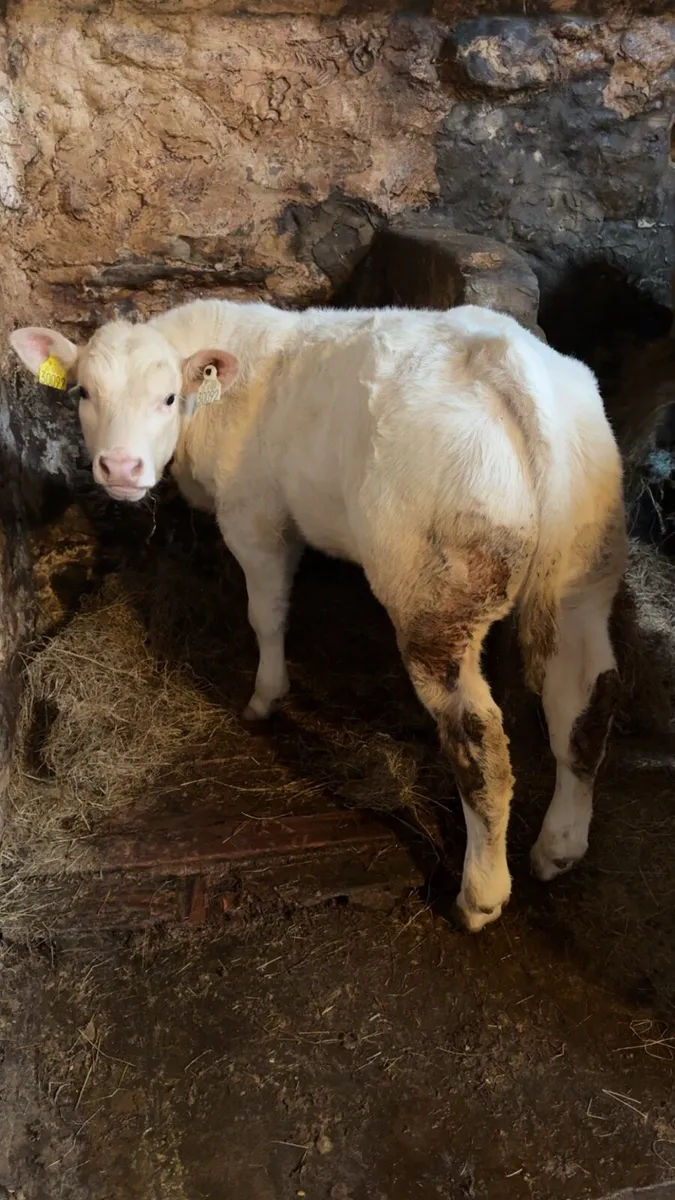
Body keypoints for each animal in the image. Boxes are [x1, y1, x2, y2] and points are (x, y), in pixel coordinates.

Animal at [10, 299, 627, 930]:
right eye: (84, 392)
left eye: (168, 398)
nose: (121, 468)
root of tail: (510, 362)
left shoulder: (254, 518)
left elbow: (267, 614)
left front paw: (265, 698)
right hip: (585, 571)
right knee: (586, 703)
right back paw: (559, 845)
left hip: (437, 596)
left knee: (478, 740)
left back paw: (479, 894)